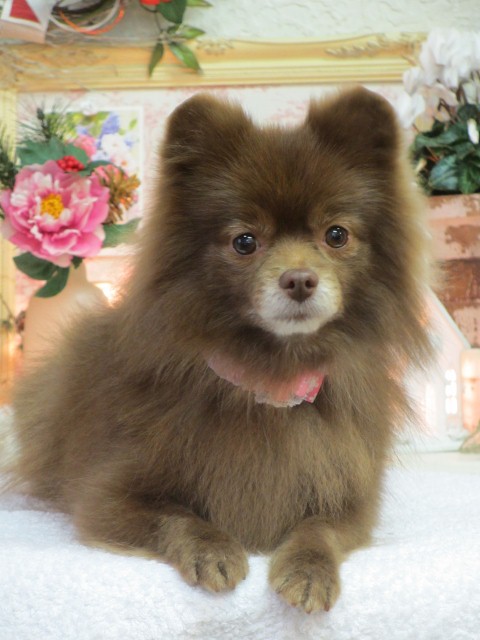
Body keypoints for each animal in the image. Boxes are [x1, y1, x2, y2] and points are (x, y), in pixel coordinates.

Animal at [10, 87, 432, 613]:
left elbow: (318, 530)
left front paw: (308, 570)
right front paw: (213, 550)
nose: (299, 279)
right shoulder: (106, 496)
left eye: (336, 235)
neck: (269, 379)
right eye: (245, 241)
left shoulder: (348, 495)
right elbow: (175, 516)